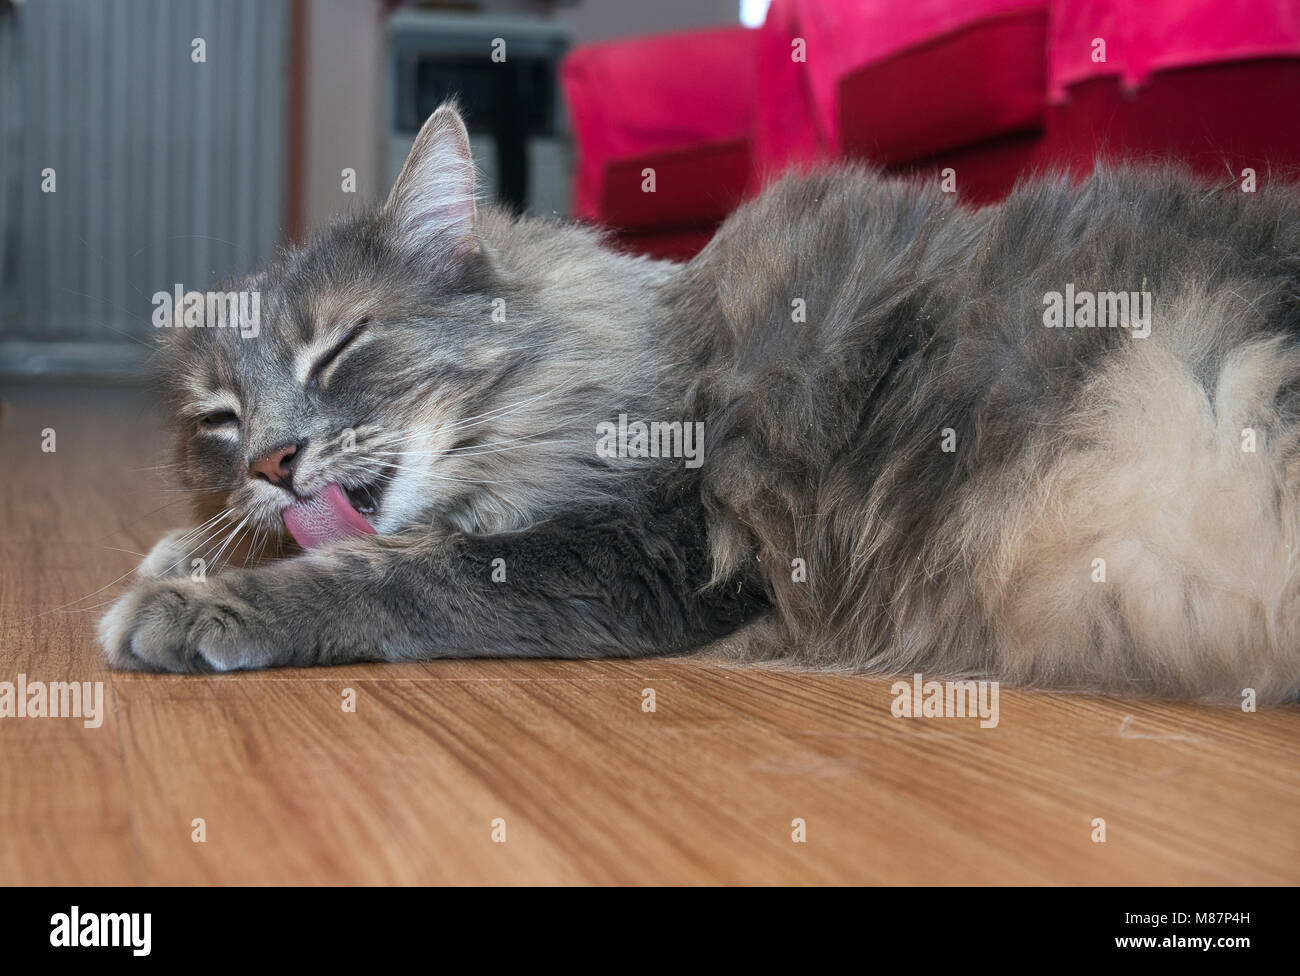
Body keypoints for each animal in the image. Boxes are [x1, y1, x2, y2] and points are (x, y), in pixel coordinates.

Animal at [98, 105, 1300, 701]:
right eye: (218, 421)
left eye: (340, 349)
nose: (272, 461)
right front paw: (188, 549)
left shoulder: (651, 549)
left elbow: (400, 572)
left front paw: (191, 604)